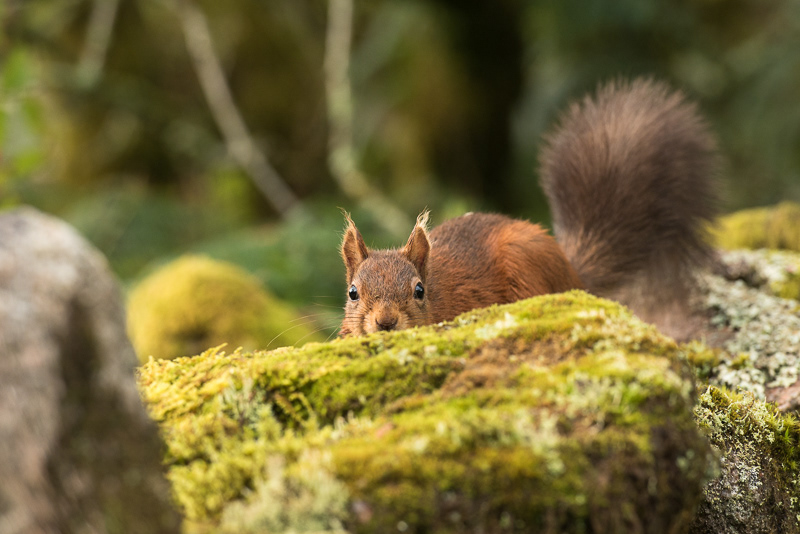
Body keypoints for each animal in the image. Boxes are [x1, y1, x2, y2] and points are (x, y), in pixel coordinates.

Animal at [339, 78, 719, 341]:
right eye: (352, 293)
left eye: (419, 290)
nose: (386, 322)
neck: (436, 294)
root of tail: (573, 276)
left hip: (526, 263)